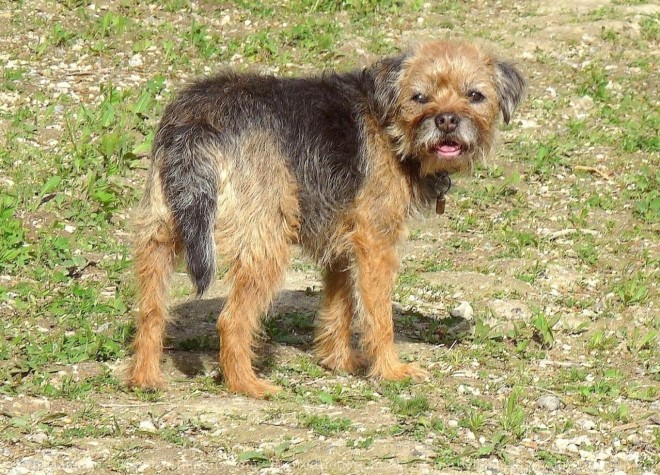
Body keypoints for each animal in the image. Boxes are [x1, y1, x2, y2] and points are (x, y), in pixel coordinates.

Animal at [126, 40, 524, 398]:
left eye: (474, 95)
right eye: (420, 97)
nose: (446, 121)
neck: (388, 122)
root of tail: (199, 121)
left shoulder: (342, 244)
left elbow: (339, 306)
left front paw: (338, 361)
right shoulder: (375, 243)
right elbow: (378, 316)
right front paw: (391, 371)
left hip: (158, 231)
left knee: (150, 310)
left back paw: (145, 378)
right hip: (266, 241)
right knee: (230, 319)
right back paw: (247, 385)